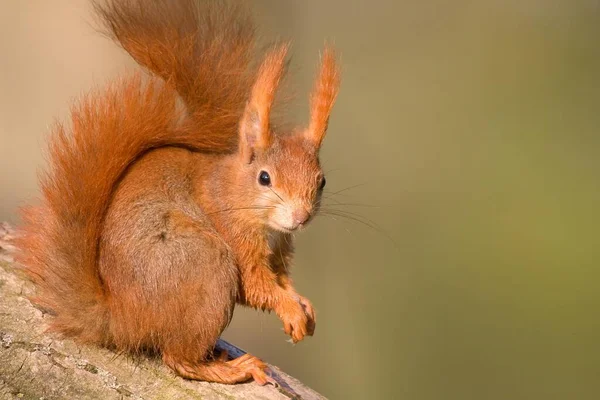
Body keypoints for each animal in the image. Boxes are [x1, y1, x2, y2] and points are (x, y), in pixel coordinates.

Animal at [16, 0, 340, 388]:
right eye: (265, 178)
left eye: (322, 180)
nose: (300, 217)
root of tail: (122, 318)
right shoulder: (234, 234)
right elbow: (256, 287)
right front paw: (289, 307)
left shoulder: (279, 250)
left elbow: (280, 280)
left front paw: (302, 303)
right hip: (207, 264)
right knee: (178, 359)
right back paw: (230, 368)